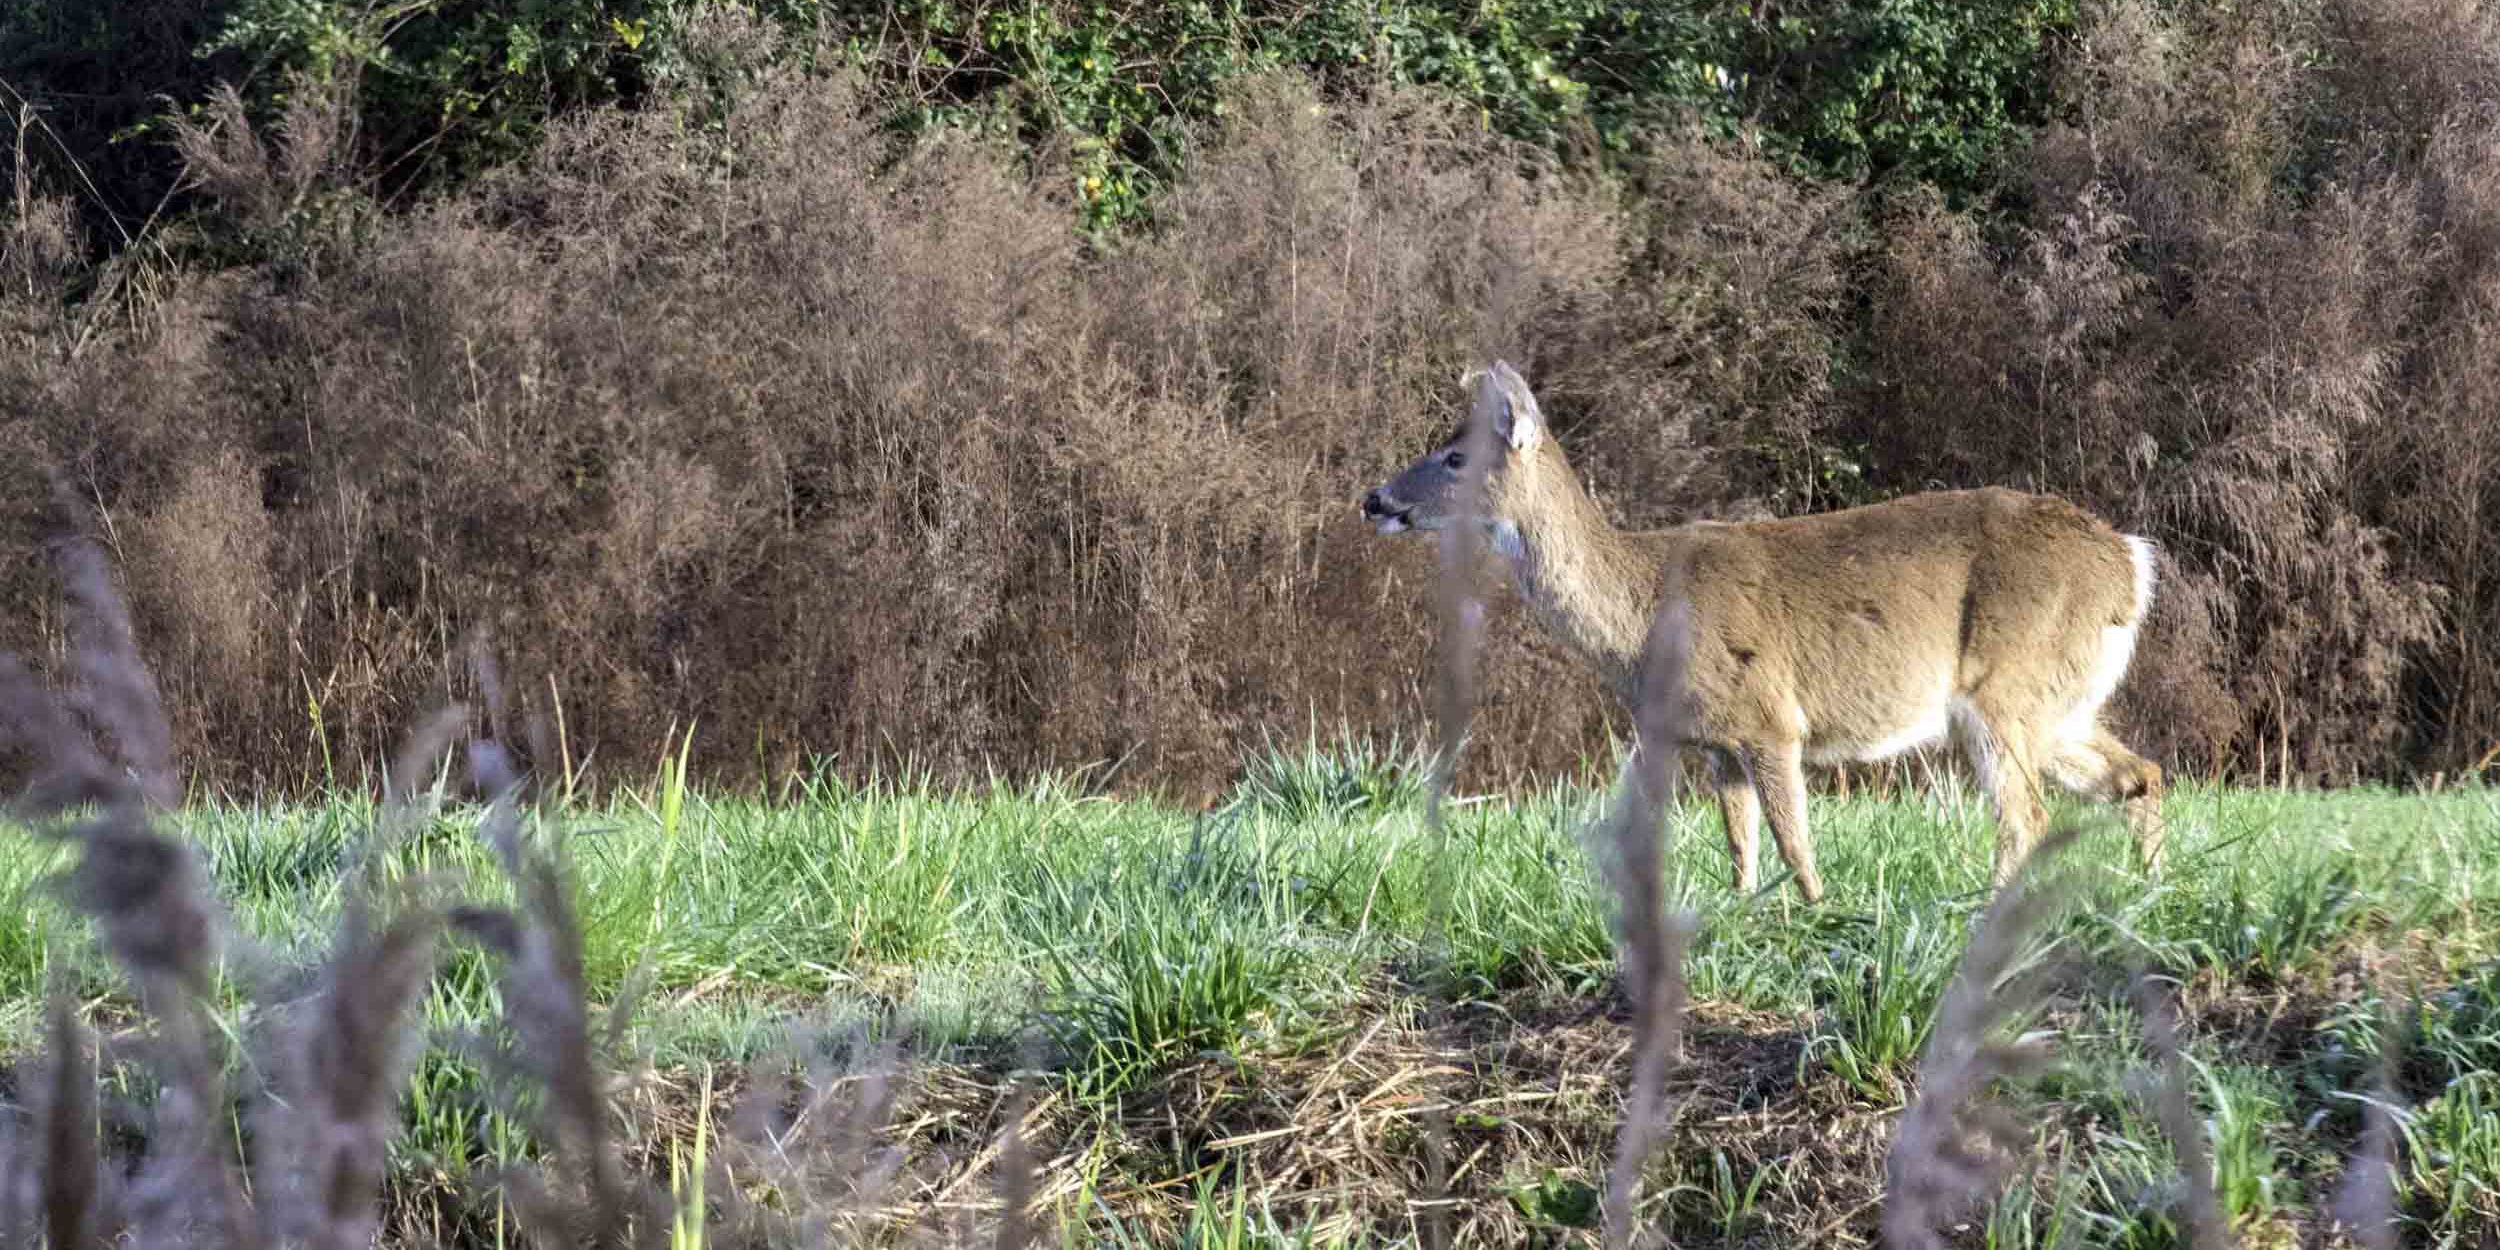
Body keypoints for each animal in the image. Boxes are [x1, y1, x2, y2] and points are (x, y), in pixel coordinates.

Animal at [1361, 360, 2165, 901]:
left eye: (1456, 456)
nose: (1373, 498)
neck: (1642, 612)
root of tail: (2131, 564)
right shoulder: (1716, 741)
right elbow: (1741, 847)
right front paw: (1744, 914)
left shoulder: (1770, 716)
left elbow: (1794, 843)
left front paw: (1817, 914)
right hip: (2060, 701)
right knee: (2140, 774)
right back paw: (2147, 889)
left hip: (2006, 685)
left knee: (2027, 813)